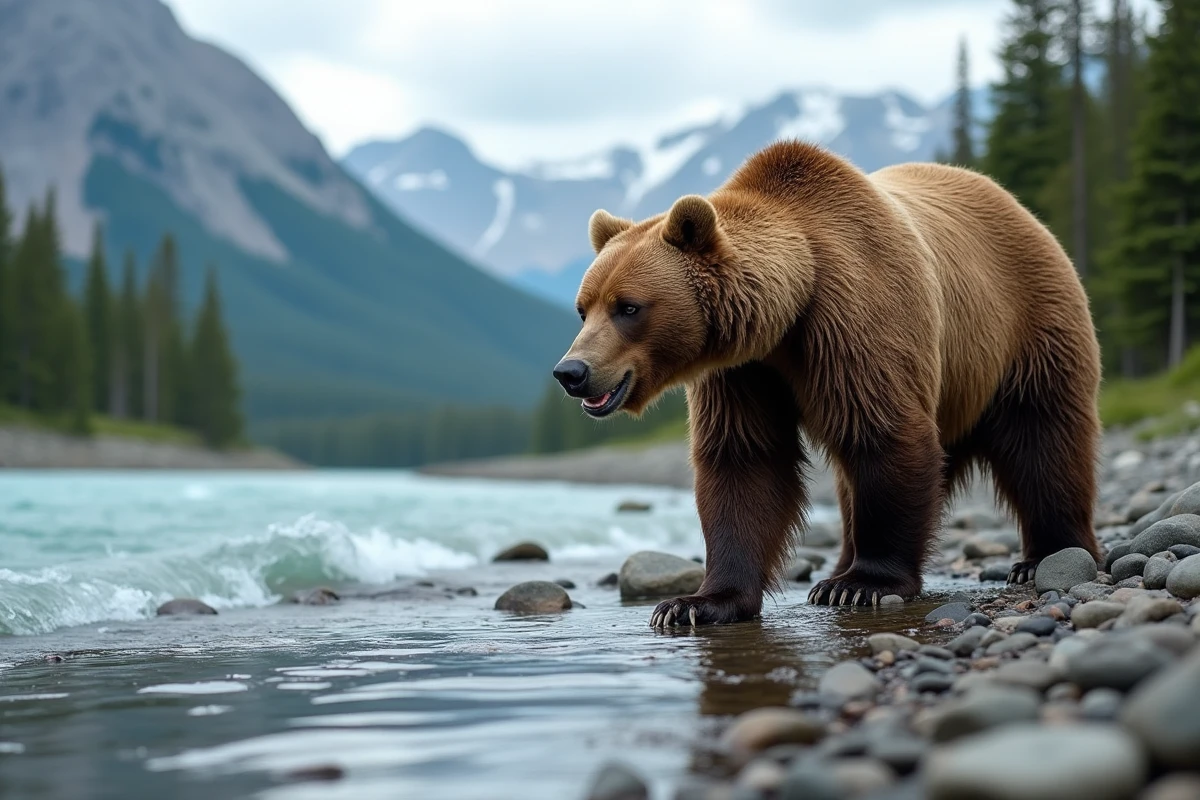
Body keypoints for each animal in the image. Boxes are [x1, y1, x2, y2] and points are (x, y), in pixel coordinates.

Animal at [551, 140, 1102, 627]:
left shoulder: (856, 319)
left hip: (1024, 328)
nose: (571, 371)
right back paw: (838, 565)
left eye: (628, 307)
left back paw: (1045, 555)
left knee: (1044, 439)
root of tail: (1015, 204)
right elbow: (743, 461)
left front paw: (864, 584)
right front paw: (697, 602)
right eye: (584, 308)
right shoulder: (742, 372)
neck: (789, 309)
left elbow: (884, 435)